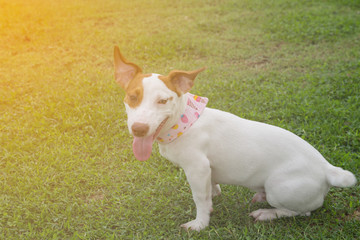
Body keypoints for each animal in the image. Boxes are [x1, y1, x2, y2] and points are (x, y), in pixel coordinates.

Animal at [113, 46, 358, 232]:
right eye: (132, 97)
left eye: (163, 101)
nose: (139, 129)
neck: (184, 122)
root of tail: (327, 169)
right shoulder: (206, 170)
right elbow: (210, 189)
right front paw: (213, 197)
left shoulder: (197, 168)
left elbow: (199, 198)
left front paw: (200, 223)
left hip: (279, 187)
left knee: (302, 211)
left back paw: (267, 213)